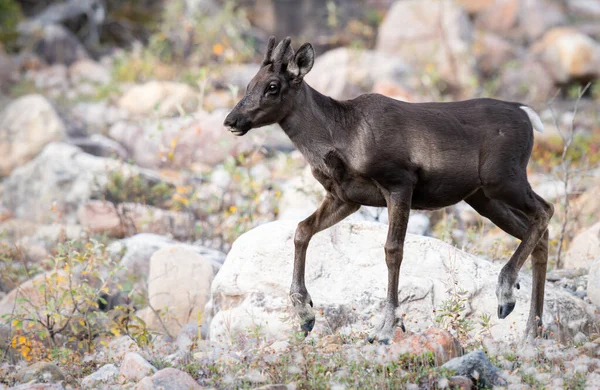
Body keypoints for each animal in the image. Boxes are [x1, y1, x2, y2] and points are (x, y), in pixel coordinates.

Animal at [224, 35, 552, 342]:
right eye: (250, 83)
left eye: (273, 86)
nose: (231, 120)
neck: (338, 136)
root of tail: (527, 114)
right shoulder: (344, 198)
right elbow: (302, 230)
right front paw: (305, 314)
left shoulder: (399, 184)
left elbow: (393, 250)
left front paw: (386, 327)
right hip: (483, 197)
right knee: (539, 232)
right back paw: (532, 329)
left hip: (504, 179)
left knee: (546, 211)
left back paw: (507, 295)